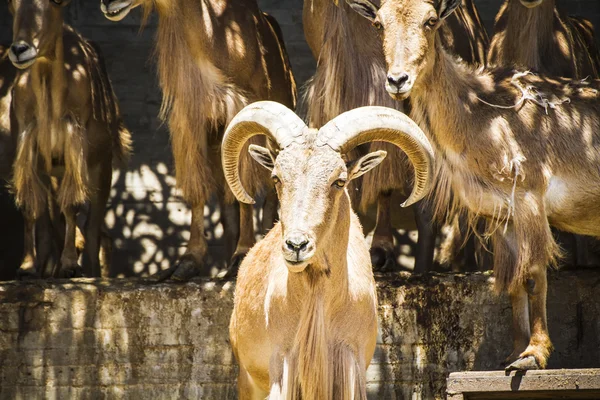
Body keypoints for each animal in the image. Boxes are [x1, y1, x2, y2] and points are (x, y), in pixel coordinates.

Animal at [223, 101, 434, 398]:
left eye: (339, 181)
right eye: (277, 178)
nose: (296, 245)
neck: (319, 298)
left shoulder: (351, 366)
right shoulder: (282, 368)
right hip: (248, 378)